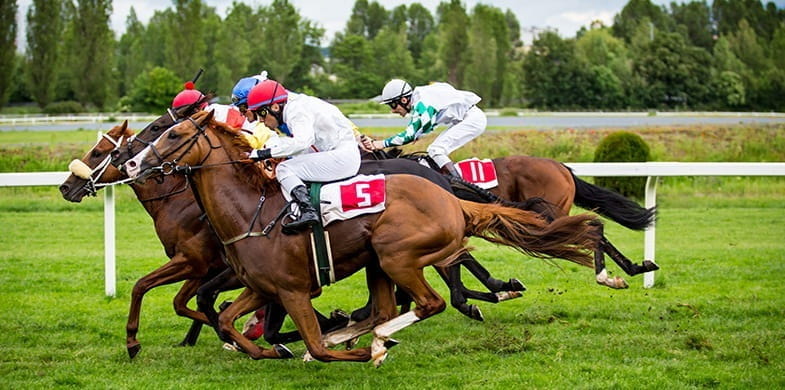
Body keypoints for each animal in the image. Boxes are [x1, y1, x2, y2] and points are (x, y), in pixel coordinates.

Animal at [124, 110, 600, 366]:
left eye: (172, 132)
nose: (132, 164)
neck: (251, 211)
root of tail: (450, 197)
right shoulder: (261, 287)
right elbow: (225, 318)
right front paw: (271, 349)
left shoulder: (293, 290)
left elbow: (313, 343)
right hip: (378, 263)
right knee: (388, 307)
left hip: (396, 257)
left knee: (429, 301)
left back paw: (376, 338)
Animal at [364, 149, 660, 290]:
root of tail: (561, 166)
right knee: (591, 231)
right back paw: (633, 268)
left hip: (549, 213)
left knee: (589, 230)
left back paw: (607, 275)